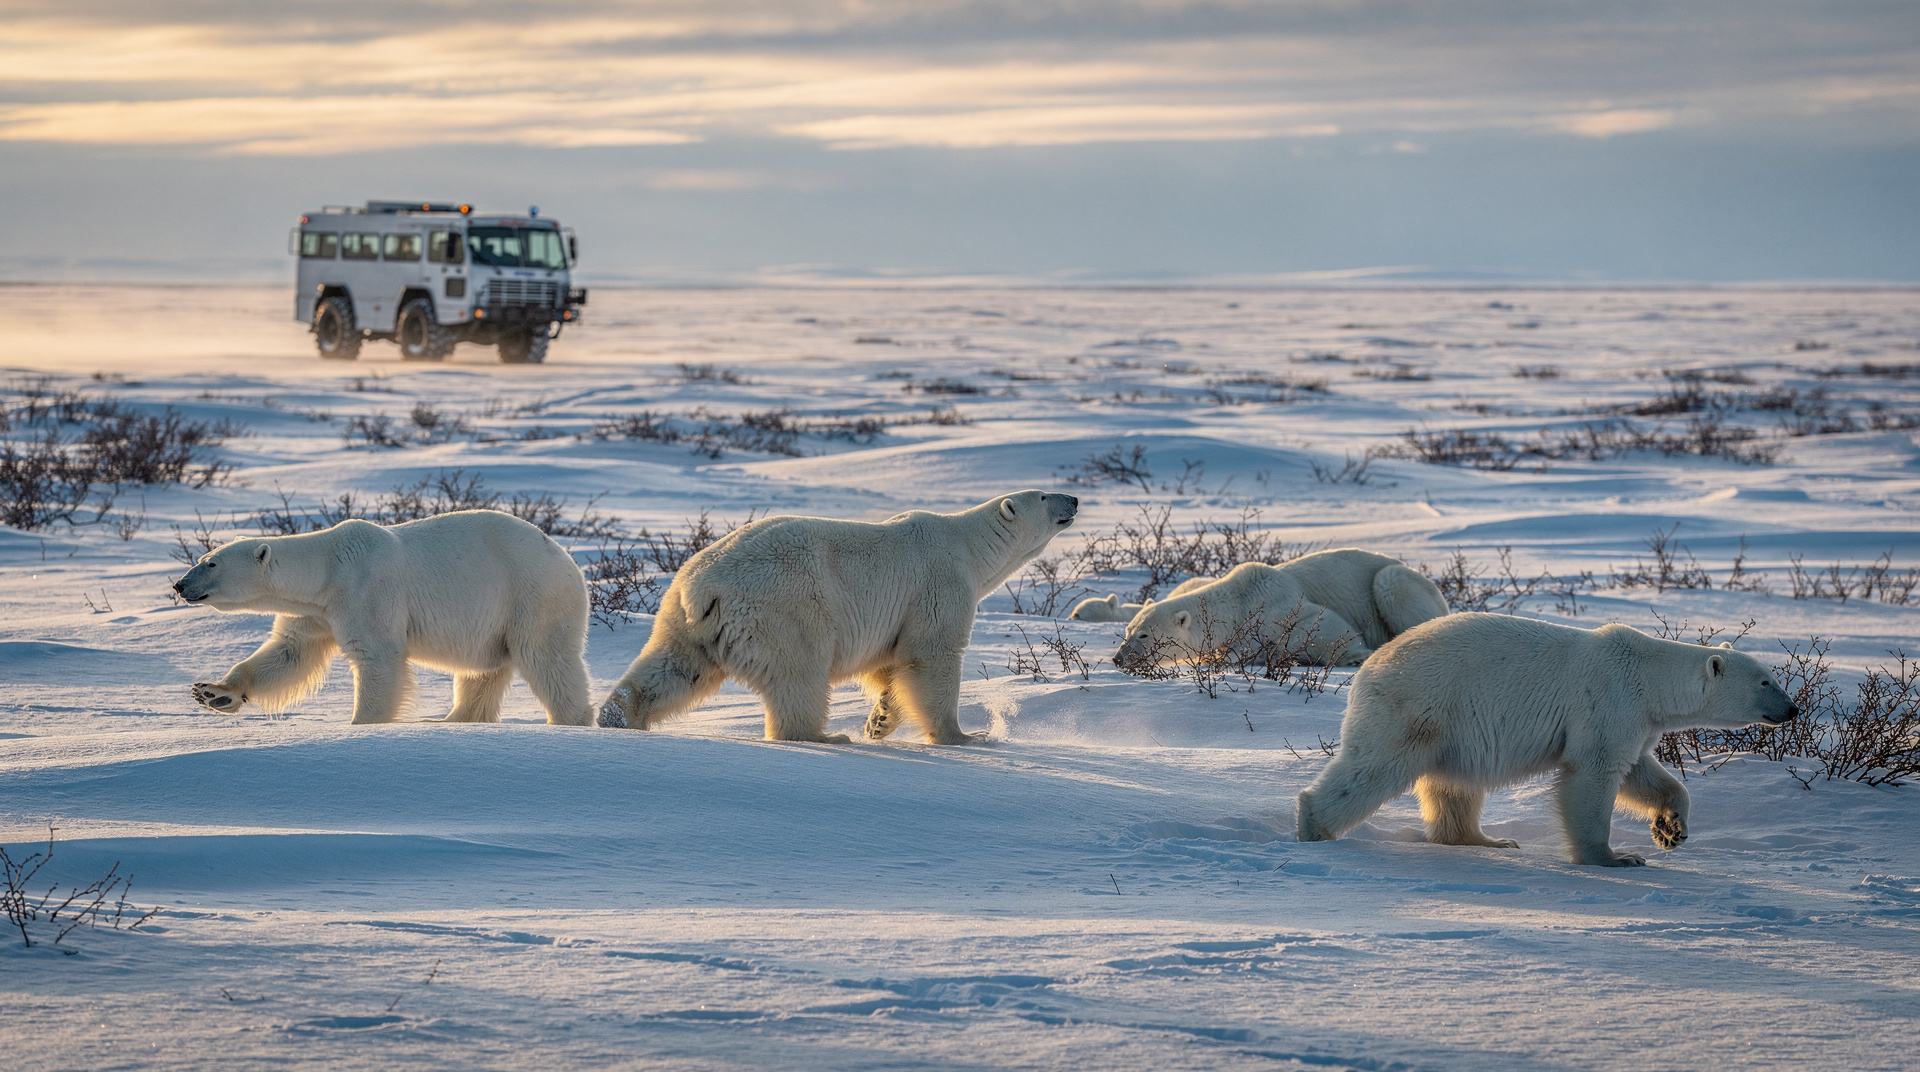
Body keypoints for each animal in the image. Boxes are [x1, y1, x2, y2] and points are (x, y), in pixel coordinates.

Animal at [176, 510, 593, 726]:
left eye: (211, 563)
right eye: (202, 557)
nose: (180, 585)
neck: (329, 568)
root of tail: (570, 562)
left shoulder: (366, 593)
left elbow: (377, 658)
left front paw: (362, 726)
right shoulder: (317, 611)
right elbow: (289, 653)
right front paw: (213, 692)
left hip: (532, 595)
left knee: (547, 659)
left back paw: (570, 722)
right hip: (492, 621)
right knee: (481, 672)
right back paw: (451, 720)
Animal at [597, 490, 1079, 744]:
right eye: (1042, 495)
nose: (1074, 497)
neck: (967, 544)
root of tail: (702, 588)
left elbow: (890, 667)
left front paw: (879, 722)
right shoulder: (937, 586)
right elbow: (931, 655)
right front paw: (963, 736)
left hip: (683, 620)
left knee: (674, 667)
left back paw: (619, 716)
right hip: (784, 609)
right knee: (800, 675)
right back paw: (823, 735)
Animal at [1112, 550, 1446, 672]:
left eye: (1143, 635)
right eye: (1127, 631)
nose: (1118, 658)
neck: (1238, 600)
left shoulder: (1278, 601)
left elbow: (1318, 622)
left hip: (1397, 582)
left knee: (1391, 585)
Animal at [1295, 613, 1800, 866]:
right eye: (1766, 681)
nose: (1793, 710)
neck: (1646, 673)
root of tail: (1367, 668)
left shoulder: (1635, 720)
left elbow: (1642, 772)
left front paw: (1671, 829)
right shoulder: (1607, 700)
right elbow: (1592, 774)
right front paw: (1615, 858)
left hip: (1452, 727)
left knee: (1454, 785)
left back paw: (1488, 841)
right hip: (1420, 705)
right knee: (1375, 768)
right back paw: (1313, 825)